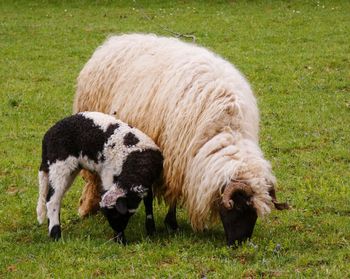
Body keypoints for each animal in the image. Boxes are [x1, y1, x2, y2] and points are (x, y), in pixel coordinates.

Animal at [36, 112, 163, 244]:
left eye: (116, 215)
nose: (118, 240)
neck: (136, 163)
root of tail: (47, 136)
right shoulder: (109, 174)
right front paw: (121, 239)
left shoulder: (148, 183)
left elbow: (148, 202)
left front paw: (151, 230)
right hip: (60, 165)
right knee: (52, 200)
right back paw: (55, 235)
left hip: (68, 169)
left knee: (55, 198)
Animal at [73, 33, 288, 247]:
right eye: (241, 207)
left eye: (255, 213)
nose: (240, 244)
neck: (226, 127)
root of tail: (115, 40)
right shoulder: (169, 156)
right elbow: (163, 193)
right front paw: (167, 224)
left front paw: (170, 223)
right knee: (92, 179)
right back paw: (87, 209)